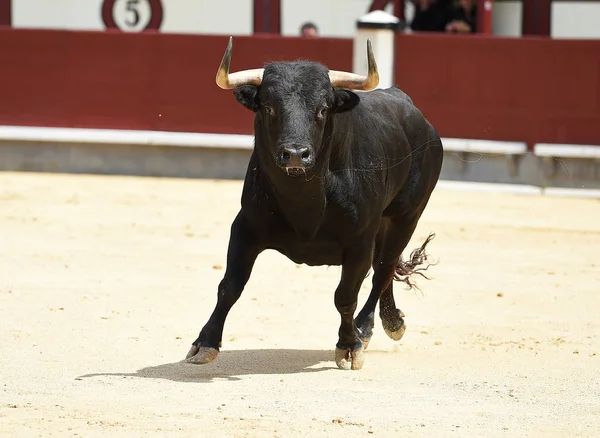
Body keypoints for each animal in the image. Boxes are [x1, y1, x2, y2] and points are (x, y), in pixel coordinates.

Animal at [185, 37, 442, 372]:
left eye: (322, 109)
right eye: (268, 107)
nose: (295, 154)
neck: (304, 201)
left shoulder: (359, 240)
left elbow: (345, 296)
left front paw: (349, 346)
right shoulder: (245, 227)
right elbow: (230, 285)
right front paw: (205, 342)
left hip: (407, 216)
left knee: (383, 270)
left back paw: (367, 327)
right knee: (384, 267)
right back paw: (391, 322)